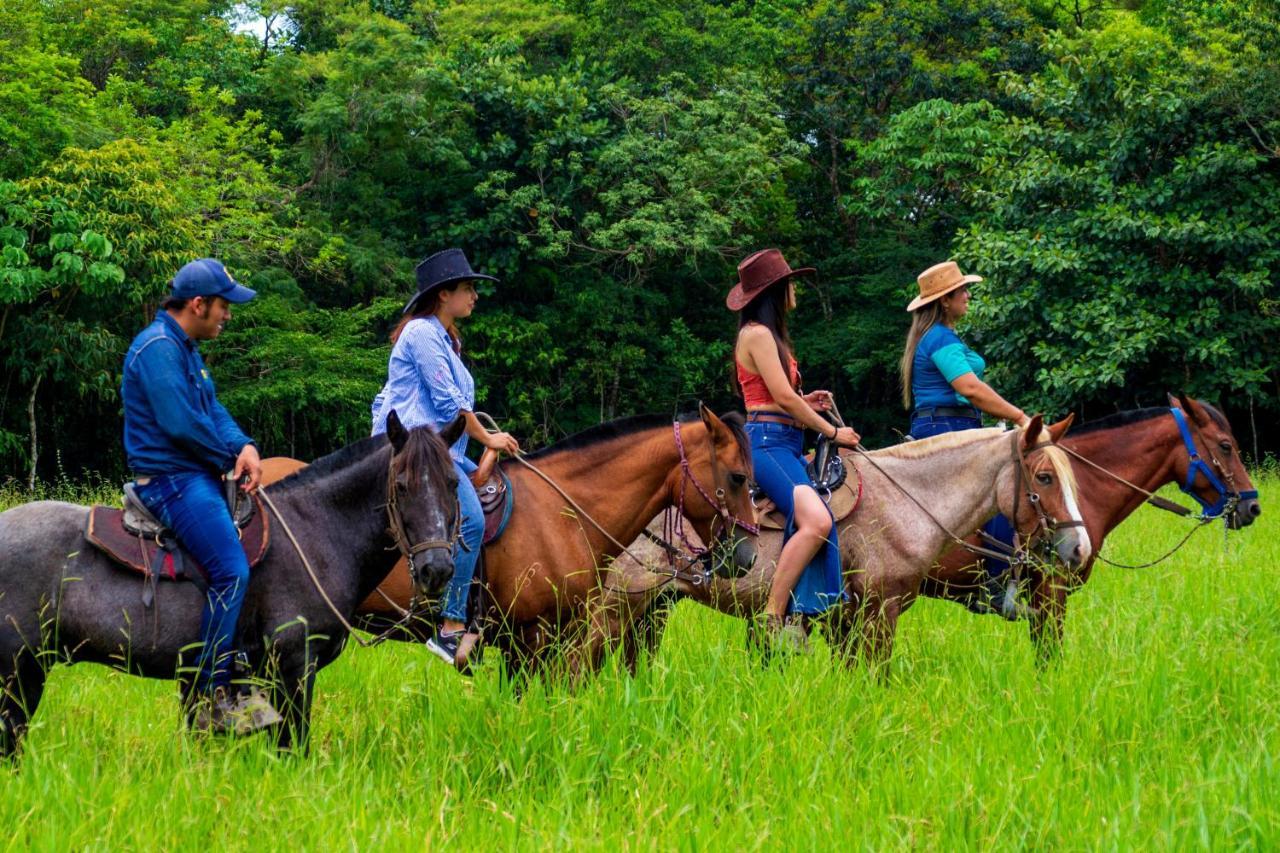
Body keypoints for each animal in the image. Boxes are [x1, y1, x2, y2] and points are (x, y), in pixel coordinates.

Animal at [0, 412, 460, 758]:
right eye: (401, 485)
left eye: (454, 484)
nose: (436, 569)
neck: (316, 529)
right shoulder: (294, 667)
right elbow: (294, 748)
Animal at [604, 412, 1085, 671]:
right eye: (1044, 476)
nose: (1079, 547)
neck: (904, 502)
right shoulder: (878, 613)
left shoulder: (847, 622)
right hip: (617, 603)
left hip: (655, 607)